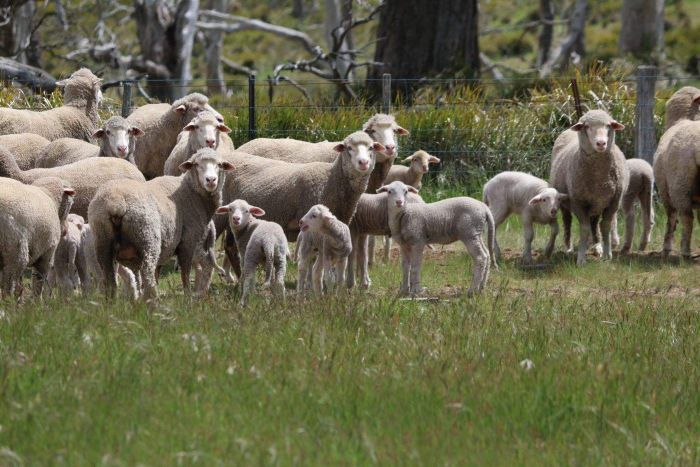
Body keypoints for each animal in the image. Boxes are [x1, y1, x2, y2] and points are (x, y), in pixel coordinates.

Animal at [88, 148, 235, 300]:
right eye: (196, 164)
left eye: (220, 165)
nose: (211, 180)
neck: (191, 192)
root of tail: (116, 202)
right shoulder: (188, 241)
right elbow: (185, 273)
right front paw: (188, 297)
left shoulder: (166, 245)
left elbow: (158, 272)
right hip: (148, 239)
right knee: (147, 276)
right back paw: (151, 300)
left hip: (103, 242)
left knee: (110, 279)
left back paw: (113, 302)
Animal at [217, 131, 384, 279]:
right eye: (348, 147)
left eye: (371, 147)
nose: (363, 163)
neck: (332, 180)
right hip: (220, 214)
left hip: (234, 220)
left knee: (230, 247)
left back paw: (238, 278)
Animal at [550, 109, 629, 266]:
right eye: (586, 127)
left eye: (608, 125)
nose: (601, 143)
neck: (599, 179)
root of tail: (568, 130)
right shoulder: (578, 202)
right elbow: (584, 228)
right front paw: (581, 259)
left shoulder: (613, 201)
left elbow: (605, 226)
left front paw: (607, 254)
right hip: (564, 201)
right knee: (567, 221)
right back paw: (569, 247)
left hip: (596, 204)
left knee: (595, 223)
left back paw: (597, 246)